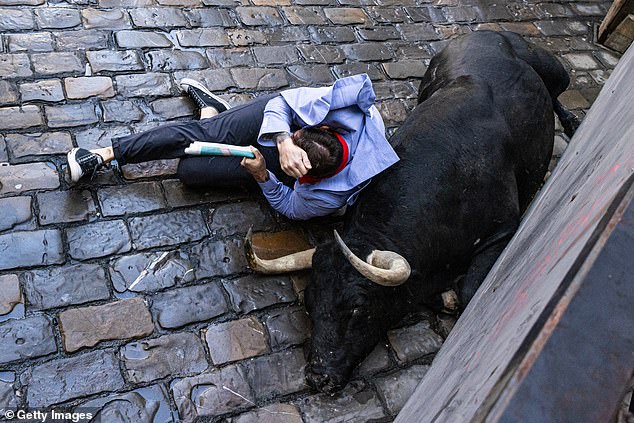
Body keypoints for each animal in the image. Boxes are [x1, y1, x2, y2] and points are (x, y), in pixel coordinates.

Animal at [244, 29, 576, 394]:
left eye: (357, 307)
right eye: (309, 301)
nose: (320, 377)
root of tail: (484, 32)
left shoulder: (503, 227)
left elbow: (469, 291)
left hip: (556, 70)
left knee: (559, 93)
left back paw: (573, 122)